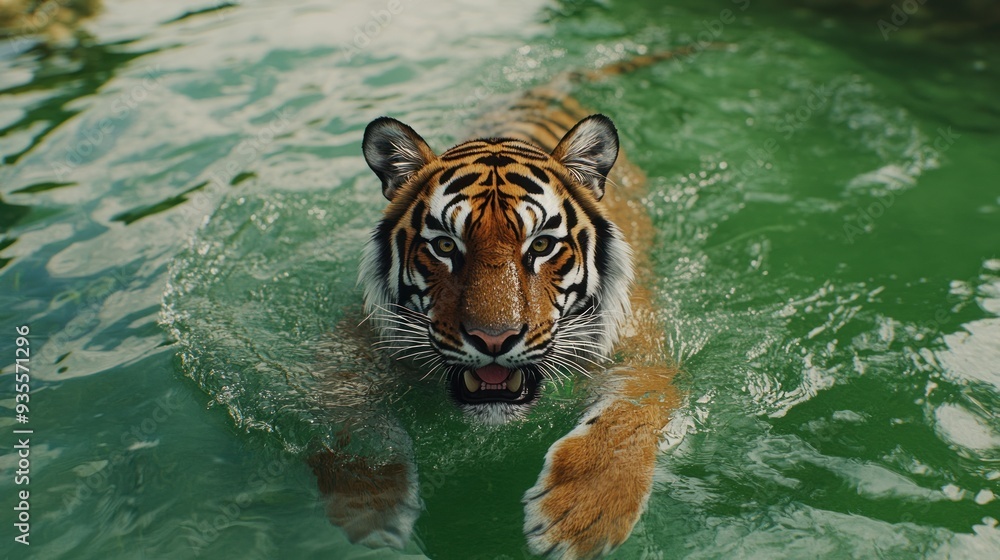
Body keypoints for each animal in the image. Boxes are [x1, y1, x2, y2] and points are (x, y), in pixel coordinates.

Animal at [309, 49, 694, 559]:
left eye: (542, 244)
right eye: (446, 246)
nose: (493, 339)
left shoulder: (643, 351)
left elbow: (625, 419)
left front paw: (580, 515)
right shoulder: (351, 352)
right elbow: (356, 433)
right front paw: (369, 507)